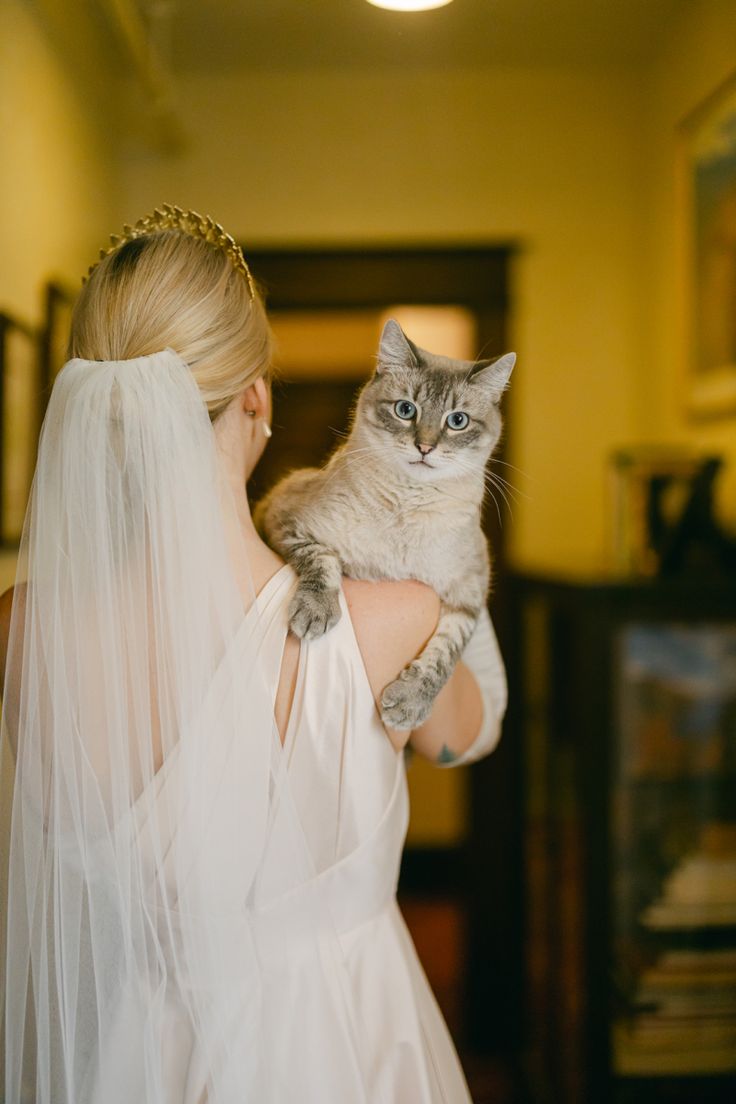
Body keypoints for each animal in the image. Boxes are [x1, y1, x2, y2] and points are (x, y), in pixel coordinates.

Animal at [256, 320, 516, 733]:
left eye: (457, 421)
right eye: (405, 410)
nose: (425, 447)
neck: (406, 509)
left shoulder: (468, 595)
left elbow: (445, 654)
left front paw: (408, 704)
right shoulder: (284, 518)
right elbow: (322, 561)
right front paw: (316, 612)